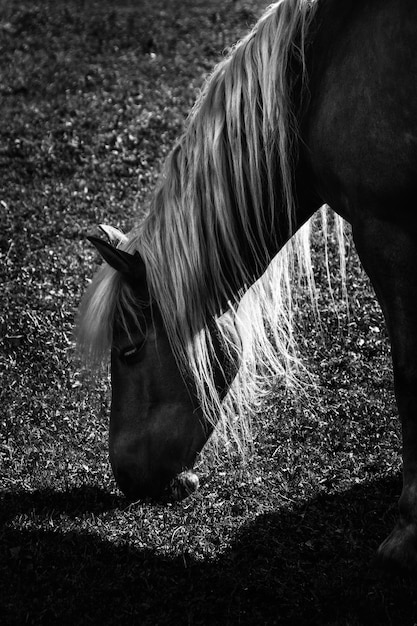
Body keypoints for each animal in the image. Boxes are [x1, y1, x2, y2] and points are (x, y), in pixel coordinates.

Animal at [77, 0, 416, 572]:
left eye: (128, 351)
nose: (124, 478)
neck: (317, 74)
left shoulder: (388, 235)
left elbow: (409, 380)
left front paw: (408, 530)